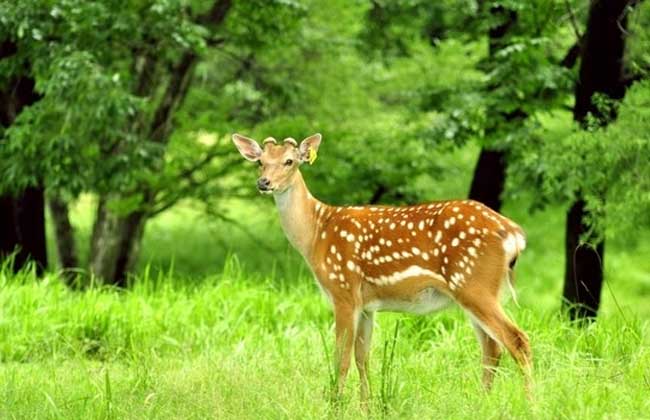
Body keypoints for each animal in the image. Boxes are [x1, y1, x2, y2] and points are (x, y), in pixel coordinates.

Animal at [230, 134, 528, 404]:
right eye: (260, 161)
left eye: (289, 161)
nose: (264, 183)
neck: (315, 234)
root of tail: (514, 234)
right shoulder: (366, 305)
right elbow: (363, 357)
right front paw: (366, 405)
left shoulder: (343, 291)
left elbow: (341, 358)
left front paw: (336, 404)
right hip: (475, 291)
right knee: (492, 348)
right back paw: (483, 402)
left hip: (475, 283)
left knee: (516, 340)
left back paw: (529, 401)